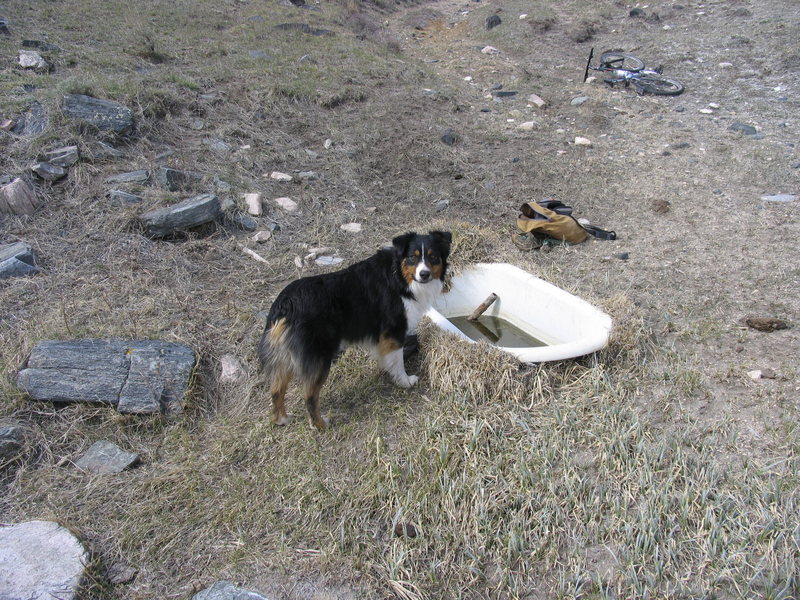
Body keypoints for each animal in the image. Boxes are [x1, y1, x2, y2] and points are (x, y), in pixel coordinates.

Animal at [260, 231, 454, 432]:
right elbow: (398, 362)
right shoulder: (394, 331)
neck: (399, 277)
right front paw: (405, 382)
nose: (424, 274)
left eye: (433, 256)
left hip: (285, 357)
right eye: (412, 258)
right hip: (319, 357)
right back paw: (321, 424)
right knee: (309, 395)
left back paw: (281, 419)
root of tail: (285, 306)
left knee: (276, 389)